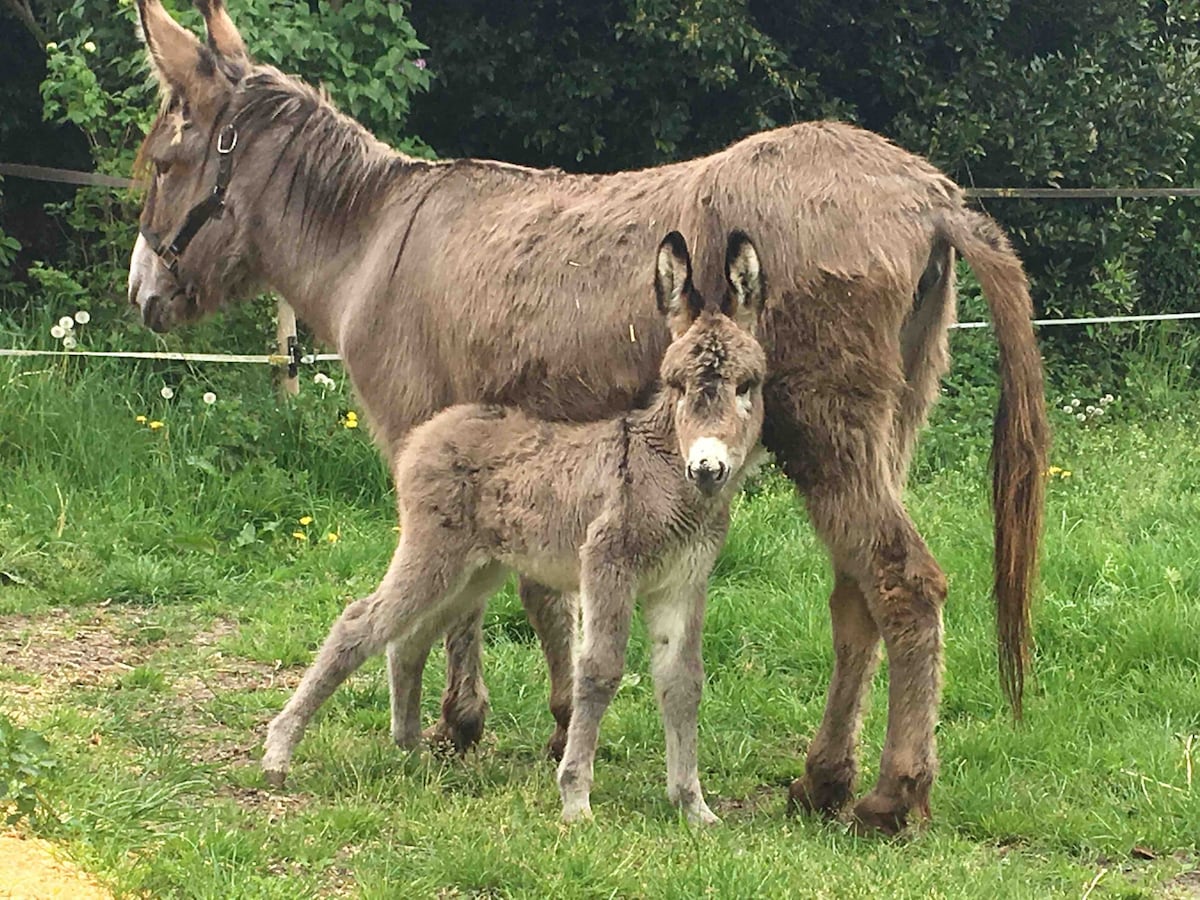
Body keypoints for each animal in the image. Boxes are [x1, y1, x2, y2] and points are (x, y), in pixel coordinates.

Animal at [262, 230, 768, 825]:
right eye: (677, 384)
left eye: (747, 385)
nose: (708, 468)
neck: (665, 472)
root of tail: (430, 430)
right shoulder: (608, 564)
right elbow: (598, 670)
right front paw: (575, 798)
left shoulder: (683, 581)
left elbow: (682, 682)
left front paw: (693, 807)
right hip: (435, 554)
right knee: (358, 624)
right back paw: (279, 753)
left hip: (474, 571)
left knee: (408, 636)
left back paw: (408, 747)